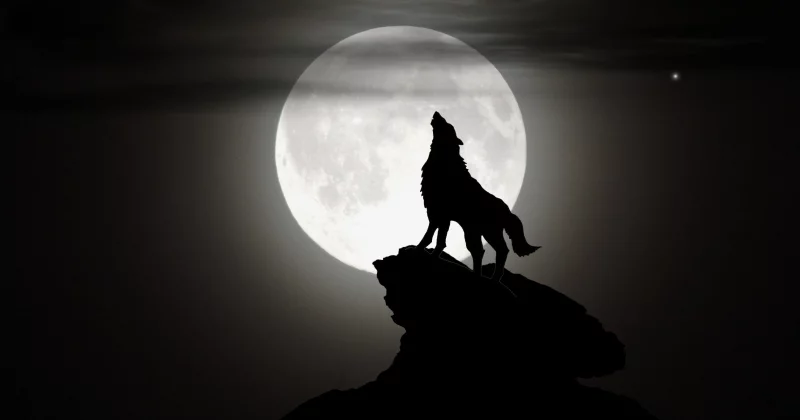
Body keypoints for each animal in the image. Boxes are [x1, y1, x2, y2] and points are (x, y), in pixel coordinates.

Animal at [416, 111, 540, 281]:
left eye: (448, 125)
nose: (437, 113)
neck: (445, 162)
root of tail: (507, 210)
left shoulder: (436, 212)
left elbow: (430, 236)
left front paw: (418, 249)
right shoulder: (444, 217)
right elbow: (441, 240)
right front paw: (433, 256)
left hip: (486, 232)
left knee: (498, 251)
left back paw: (492, 279)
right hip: (476, 232)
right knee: (482, 251)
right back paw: (480, 276)